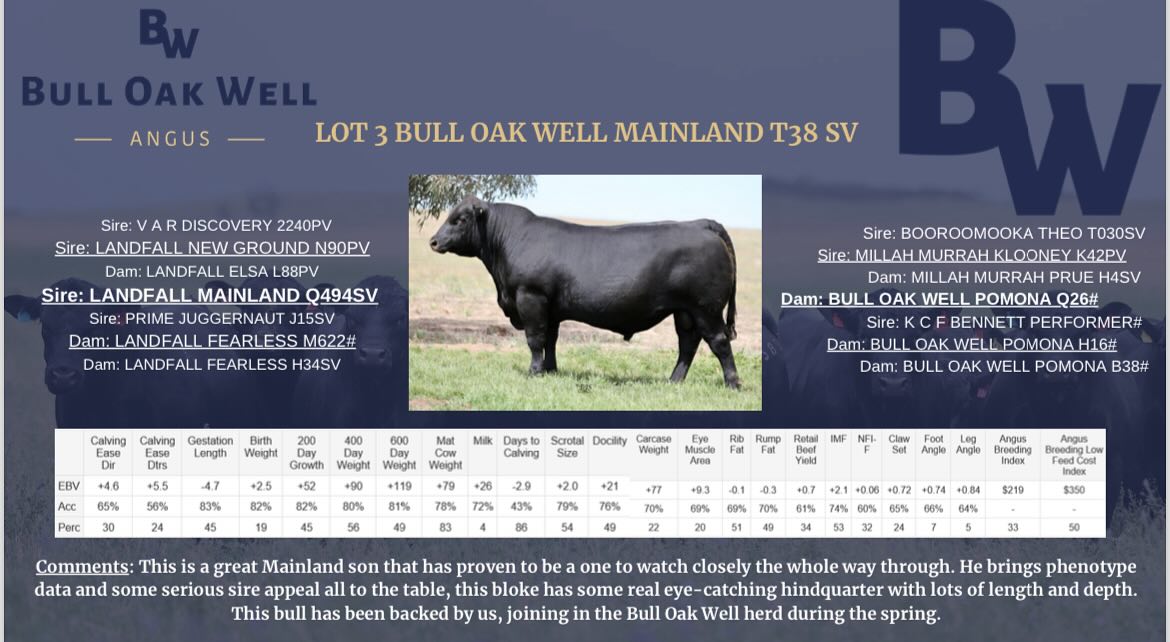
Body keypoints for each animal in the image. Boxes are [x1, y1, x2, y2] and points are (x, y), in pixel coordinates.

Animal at [428, 196, 741, 387]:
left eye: (461, 219)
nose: (433, 241)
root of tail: (700, 224)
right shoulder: (551, 308)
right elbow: (550, 340)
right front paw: (551, 370)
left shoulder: (531, 298)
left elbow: (534, 339)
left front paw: (534, 372)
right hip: (685, 312)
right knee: (688, 344)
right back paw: (673, 381)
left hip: (706, 309)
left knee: (719, 342)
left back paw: (733, 383)